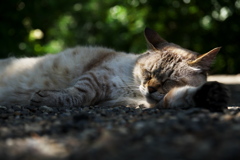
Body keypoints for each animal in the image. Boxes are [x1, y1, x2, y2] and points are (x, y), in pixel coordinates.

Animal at [0, 27, 229, 110]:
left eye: (168, 81)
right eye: (148, 73)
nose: (150, 88)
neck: (134, 91)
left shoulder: (141, 104)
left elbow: (179, 97)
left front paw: (211, 96)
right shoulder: (95, 77)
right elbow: (77, 93)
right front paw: (43, 99)